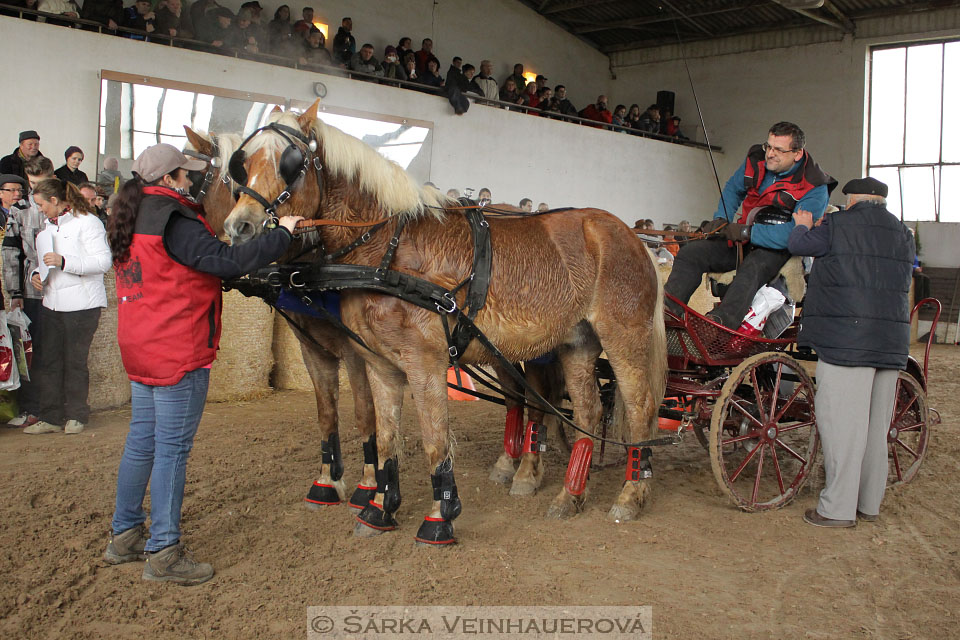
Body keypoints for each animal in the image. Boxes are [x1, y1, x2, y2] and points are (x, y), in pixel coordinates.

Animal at [223, 101, 668, 544]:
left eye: (290, 162)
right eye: (242, 165)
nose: (238, 226)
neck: (387, 248)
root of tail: (632, 237)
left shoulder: (424, 361)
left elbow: (434, 439)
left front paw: (440, 516)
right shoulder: (379, 363)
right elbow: (385, 439)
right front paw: (379, 508)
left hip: (624, 336)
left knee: (640, 409)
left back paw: (631, 493)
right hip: (575, 342)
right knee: (588, 412)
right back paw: (569, 495)